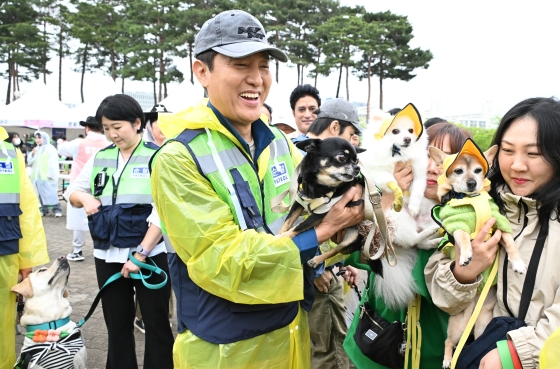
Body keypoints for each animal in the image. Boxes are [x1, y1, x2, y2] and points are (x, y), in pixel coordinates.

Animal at [360, 103, 440, 308]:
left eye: (411, 131)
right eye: (395, 131)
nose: (407, 138)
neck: (400, 155)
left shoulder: (419, 172)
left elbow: (418, 189)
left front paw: (413, 205)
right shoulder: (379, 174)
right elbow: (392, 181)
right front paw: (398, 196)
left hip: (429, 216)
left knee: (419, 243)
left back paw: (433, 238)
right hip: (398, 220)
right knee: (413, 240)